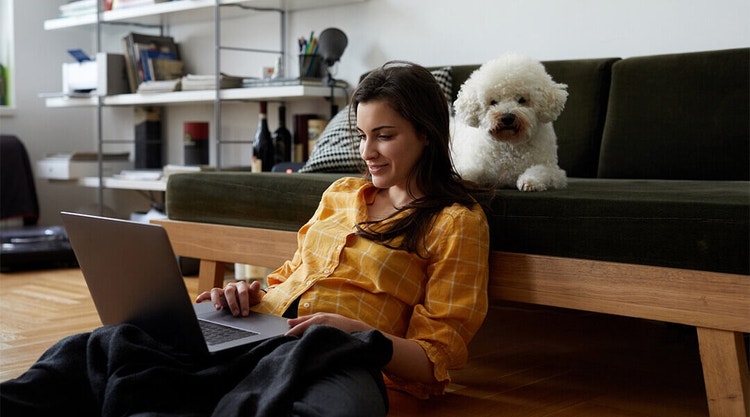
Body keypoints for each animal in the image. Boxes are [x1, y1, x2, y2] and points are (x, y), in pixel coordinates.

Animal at [452, 52, 568, 191]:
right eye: (493, 102)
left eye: (522, 100)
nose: (507, 118)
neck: (509, 144)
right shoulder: (474, 164)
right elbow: (466, 172)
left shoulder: (555, 172)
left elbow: (542, 170)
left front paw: (530, 180)